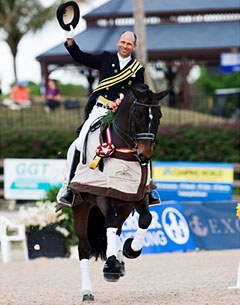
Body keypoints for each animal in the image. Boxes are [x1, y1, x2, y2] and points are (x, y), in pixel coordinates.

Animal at [66, 82, 170, 300]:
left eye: (158, 115)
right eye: (138, 114)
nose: (145, 155)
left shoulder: (136, 195)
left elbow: (145, 219)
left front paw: (130, 250)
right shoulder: (103, 195)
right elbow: (110, 223)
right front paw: (111, 265)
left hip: (123, 206)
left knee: (117, 229)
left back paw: (120, 260)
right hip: (82, 208)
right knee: (84, 247)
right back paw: (87, 291)